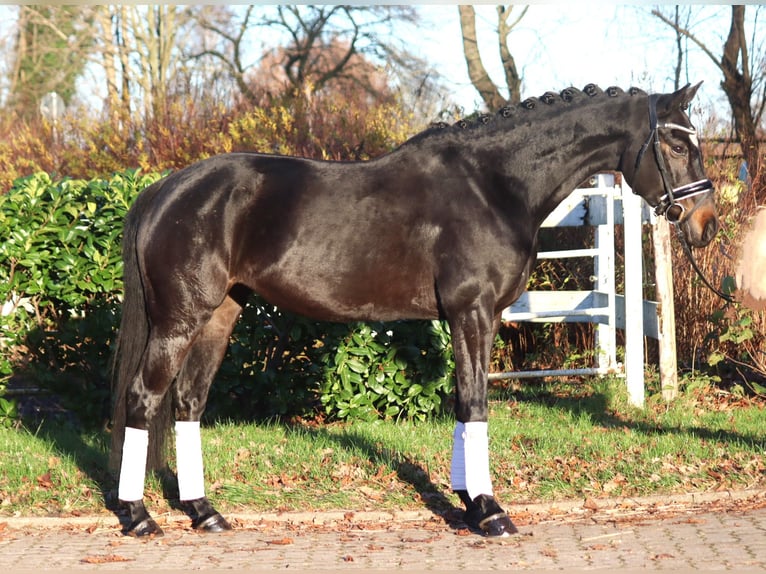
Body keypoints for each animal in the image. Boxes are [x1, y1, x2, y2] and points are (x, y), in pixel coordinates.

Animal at [111, 82, 724, 540]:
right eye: (676, 145)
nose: (707, 225)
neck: (492, 184)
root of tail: (167, 187)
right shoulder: (473, 313)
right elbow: (475, 403)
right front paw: (491, 512)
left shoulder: (472, 318)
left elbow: (461, 403)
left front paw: (468, 502)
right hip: (180, 320)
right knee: (142, 398)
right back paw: (139, 517)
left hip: (220, 315)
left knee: (188, 402)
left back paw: (204, 511)